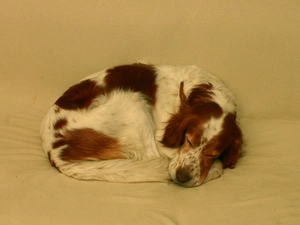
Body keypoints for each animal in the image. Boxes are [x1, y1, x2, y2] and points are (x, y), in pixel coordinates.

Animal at [39, 62, 243, 186]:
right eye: (188, 140)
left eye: (212, 153)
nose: (182, 177)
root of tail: (54, 152)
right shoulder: (161, 139)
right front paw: (215, 168)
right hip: (133, 100)